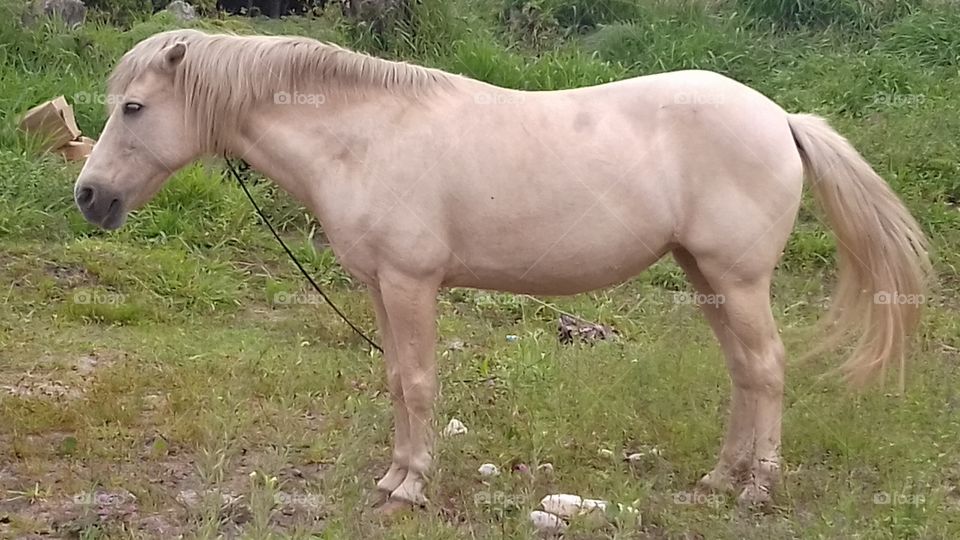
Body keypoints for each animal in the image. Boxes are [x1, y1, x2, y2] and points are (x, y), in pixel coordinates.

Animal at [73, 29, 931, 510]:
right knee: (745, 375)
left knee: (768, 369)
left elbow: (421, 382)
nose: (89, 196)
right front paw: (393, 477)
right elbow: (397, 380)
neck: (363, 137)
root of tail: (779, 118)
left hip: (738, 280)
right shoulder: (380, 287)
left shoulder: (411, 284)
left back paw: (756, 490)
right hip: (707, 278)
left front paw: (413, 487)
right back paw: (720, 481)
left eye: (135, 108)